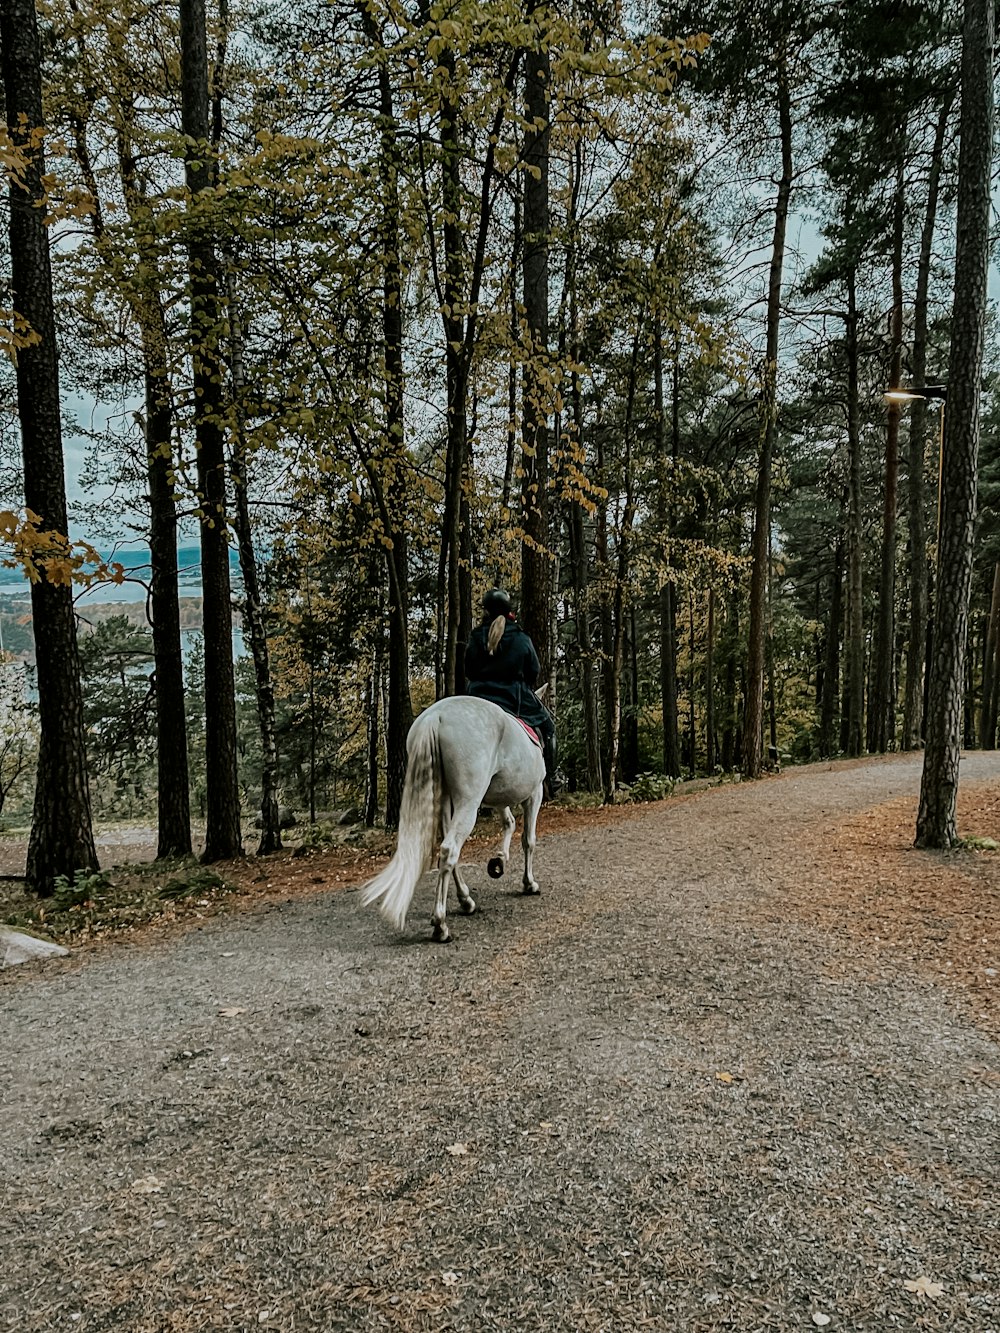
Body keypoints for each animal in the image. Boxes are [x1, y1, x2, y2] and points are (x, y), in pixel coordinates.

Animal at [360, 693, 549, 943]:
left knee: (449, 850)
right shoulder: (535, 793)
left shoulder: (498, 797)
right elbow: (529, 840)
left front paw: (499, 860)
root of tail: (436, 715)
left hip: (445, 800)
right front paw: (529, 883)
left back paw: (466, 901)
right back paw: (441, 925)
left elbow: (509, 822)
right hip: (468, 801)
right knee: (450, 849)